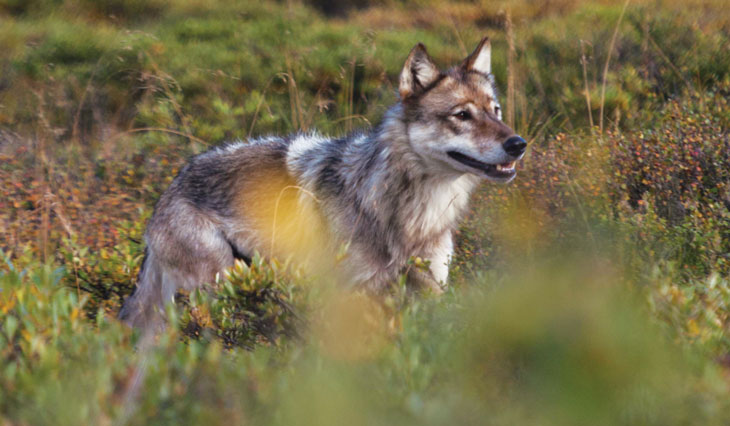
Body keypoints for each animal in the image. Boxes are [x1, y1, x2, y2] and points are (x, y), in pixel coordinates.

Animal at [119, 37, 527, 330]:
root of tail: (172, 184)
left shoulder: (430, 293)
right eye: (462, 115)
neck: (410, 213)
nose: (518, 144)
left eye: (495, 111)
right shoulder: (348, 298)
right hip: (223, 281)